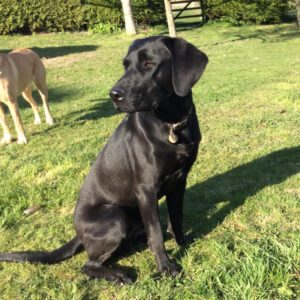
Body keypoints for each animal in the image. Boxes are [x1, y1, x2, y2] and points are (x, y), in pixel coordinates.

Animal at [0, 35, 207, 284]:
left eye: (149, 64)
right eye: (125, 65)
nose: (114, 95)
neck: (172, 124)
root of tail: (78, 234)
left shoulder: (180, 180)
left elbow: (176, 217)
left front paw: (183, 243)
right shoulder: (146, 189)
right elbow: (156, 233)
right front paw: (166, 267)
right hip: (116, 216)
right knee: (89, 265)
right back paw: (119, 275)